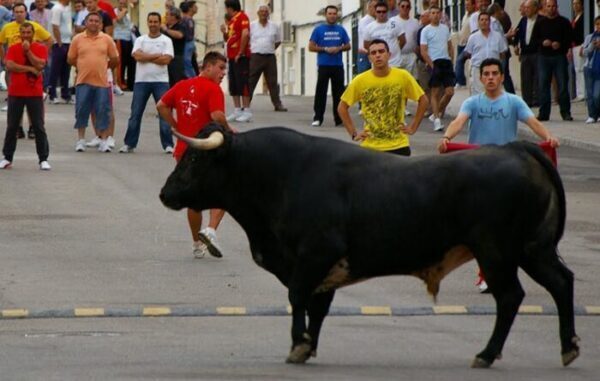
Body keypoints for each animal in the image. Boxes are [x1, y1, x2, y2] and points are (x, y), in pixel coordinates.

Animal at [161, 124, 580, 366]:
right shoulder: (325, 267)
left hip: (496, 252)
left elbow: (298, 297)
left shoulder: (315, 254)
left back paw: (487, 354)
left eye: (195, 158)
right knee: (562, 283)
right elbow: (317, 305)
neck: (281, 176)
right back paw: (567, 347)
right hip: (533, 249)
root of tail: (515, 149)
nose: (165, 194)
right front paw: (309, 345)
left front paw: (298, 345)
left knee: (510, 297)